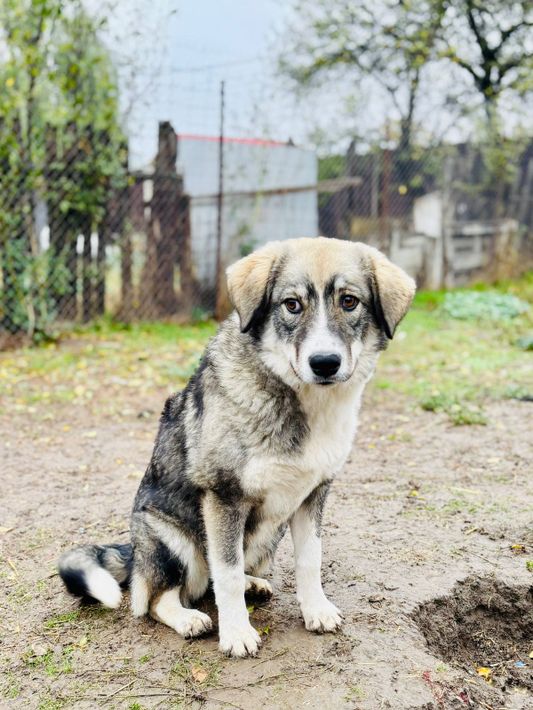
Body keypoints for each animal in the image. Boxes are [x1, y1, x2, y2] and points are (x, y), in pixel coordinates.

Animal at [58, 237, 415, 657]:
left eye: (349, 301)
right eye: (291, 304)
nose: (325, 362)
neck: (300, 400)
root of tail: (134, 554)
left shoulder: (313, 495)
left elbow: (309, 561)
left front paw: (315, 610)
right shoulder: (224, 498)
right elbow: (225, 572)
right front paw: (237, 634)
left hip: (270, 534)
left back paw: (252, 584)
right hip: (174, 542)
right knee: (155, 599)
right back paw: (189, 618)